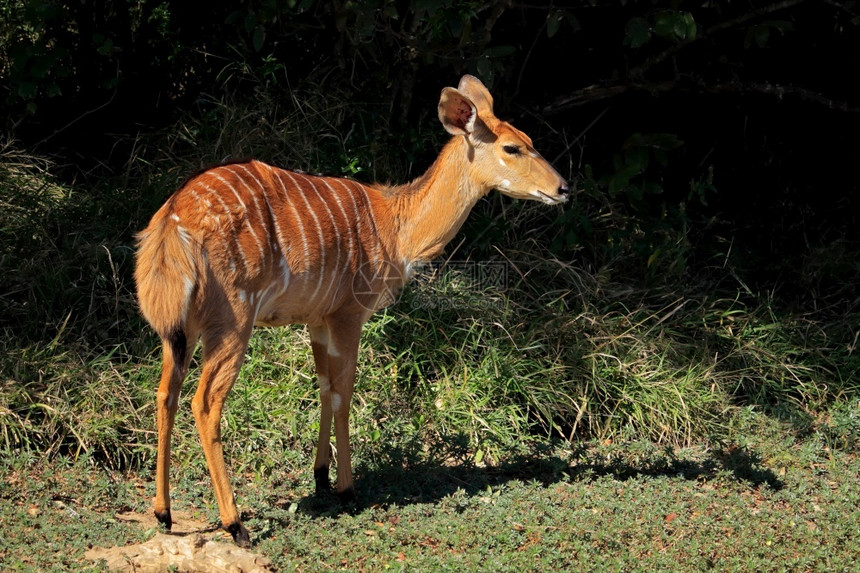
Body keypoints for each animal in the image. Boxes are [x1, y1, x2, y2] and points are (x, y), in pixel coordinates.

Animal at [134, 76, 568, 544]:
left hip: (182, 329)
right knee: (206, 401)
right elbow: (344, 392)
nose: (563, 188)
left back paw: (163, 514)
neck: (397, 226)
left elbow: (324, 386)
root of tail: (172, 220)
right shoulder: (349, 313)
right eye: (512, 147)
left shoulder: (318, 319)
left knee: (166, 393)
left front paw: (321, 477)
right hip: (234, 319)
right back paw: (236, 525)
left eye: (528, 140)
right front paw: (346, 489)